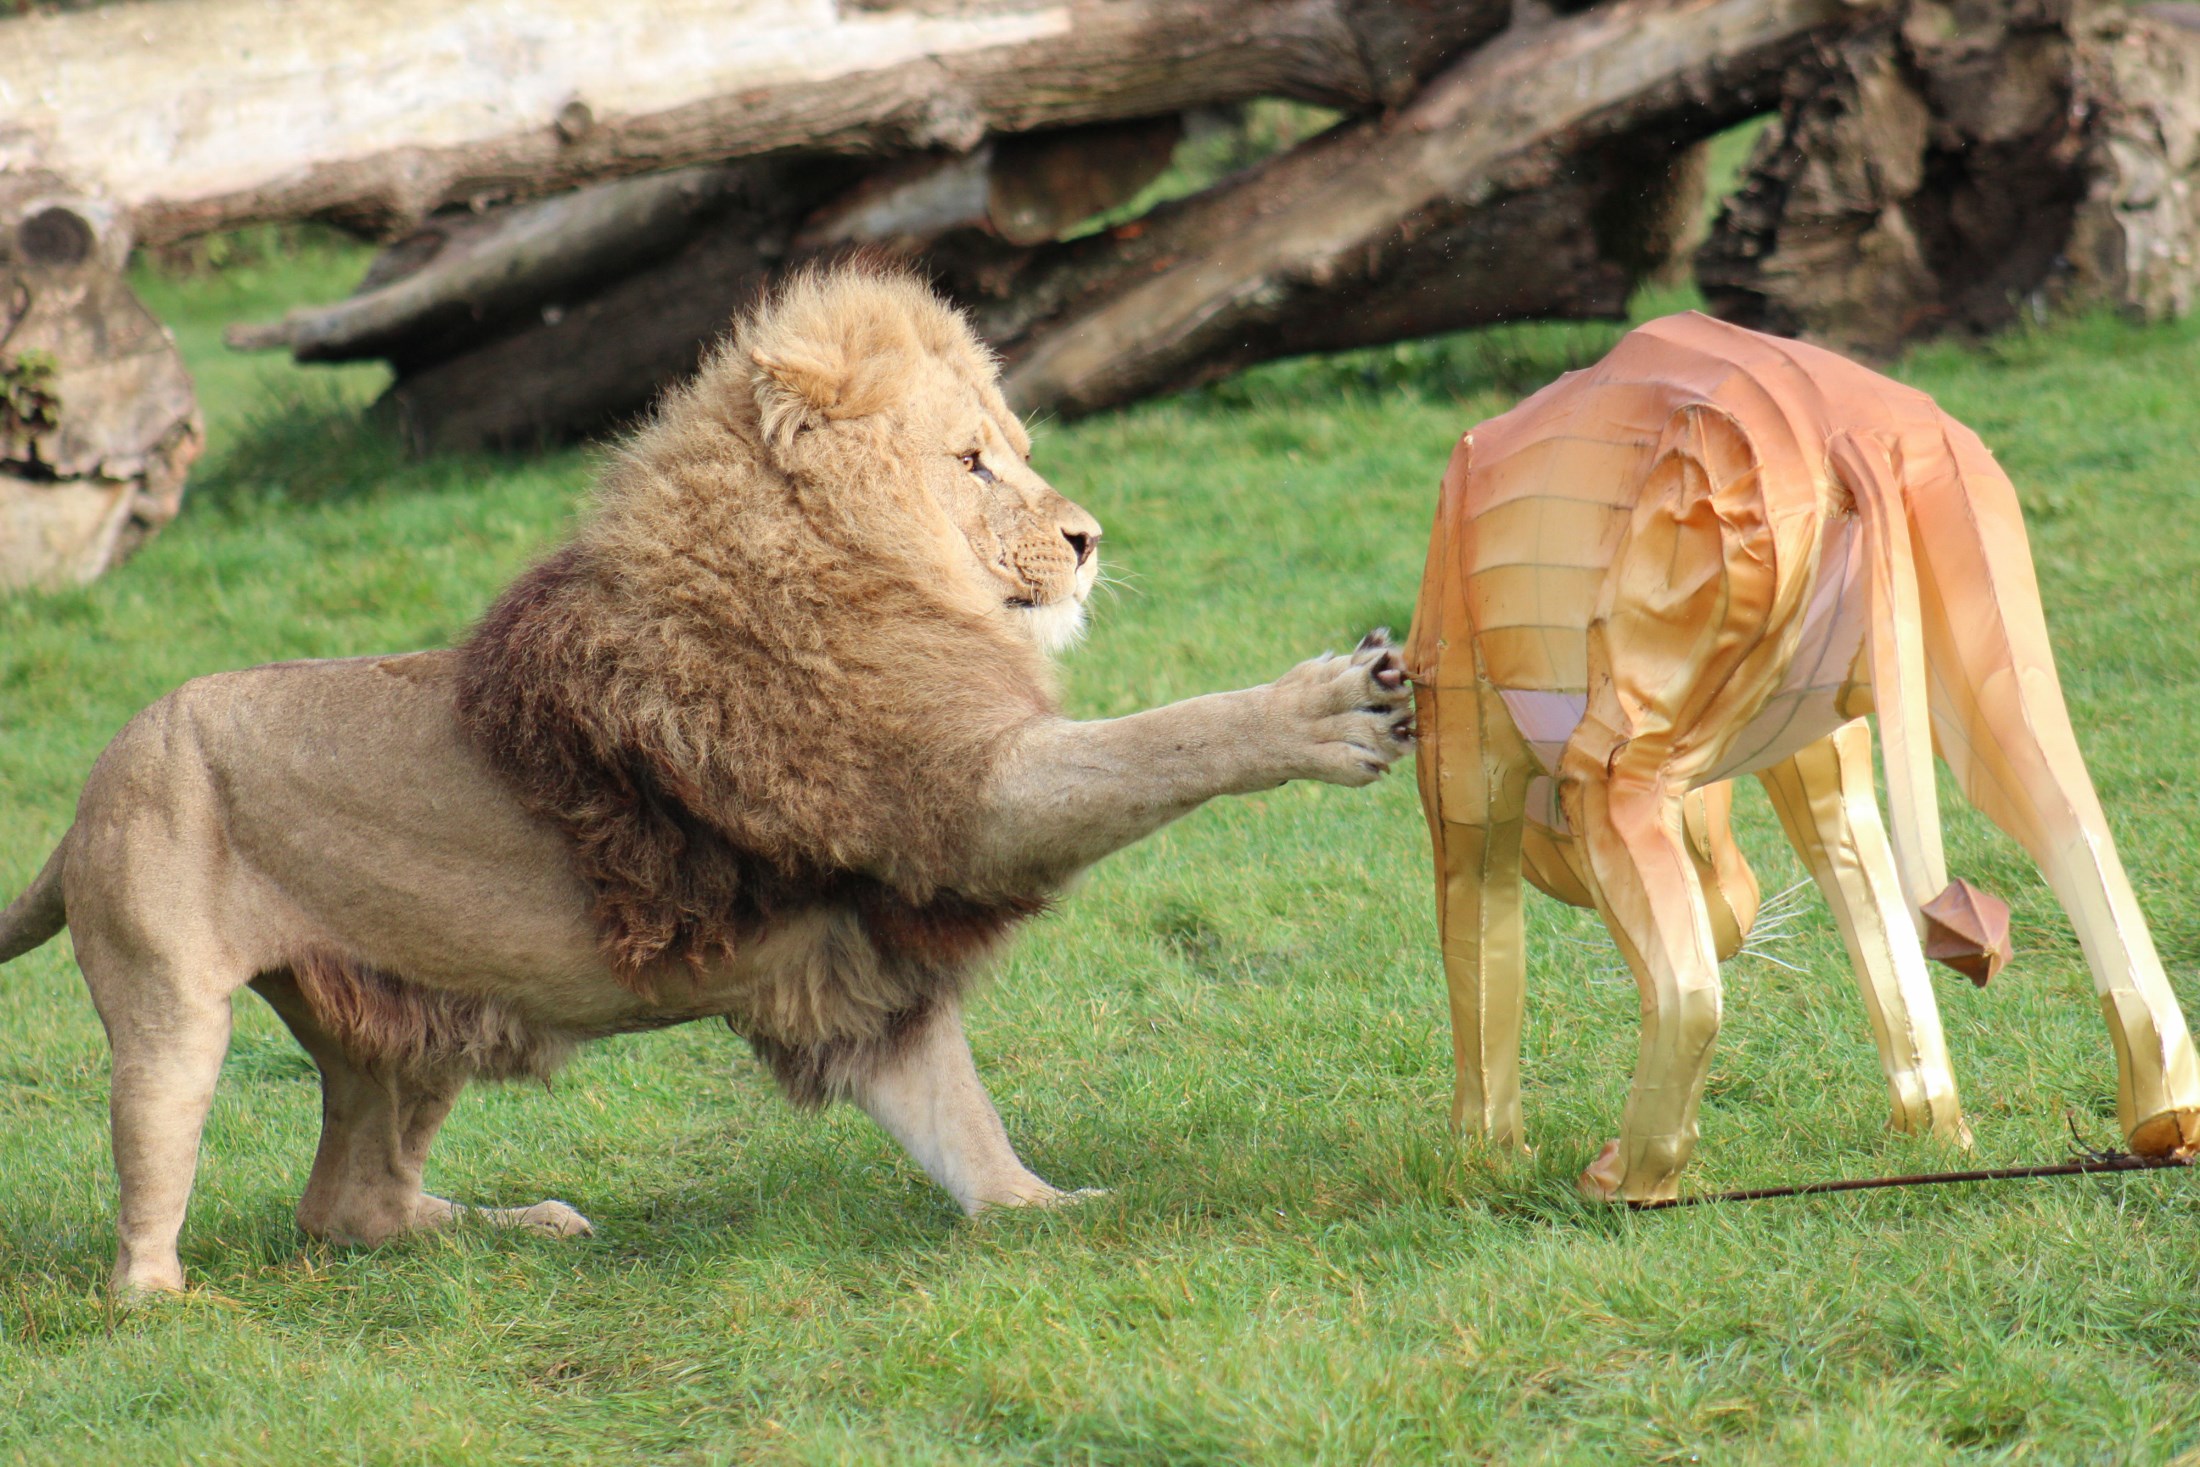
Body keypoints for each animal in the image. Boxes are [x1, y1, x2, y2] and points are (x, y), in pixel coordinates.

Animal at [0, 264, 1414, 1296]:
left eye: (1011, 450)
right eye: (973, 463)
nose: (1088, 540)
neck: (850, 561)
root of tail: (89, 788)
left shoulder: (868, 959)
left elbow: (959, 1120)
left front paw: (1040, 1213)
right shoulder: (956, 799)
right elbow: (1160, 740)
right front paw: (1328, 707)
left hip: (409, 1021)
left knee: (346, 1203)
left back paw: (513, 1226)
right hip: (171, 1003)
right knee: (162, 1176)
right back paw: (167, 1303)